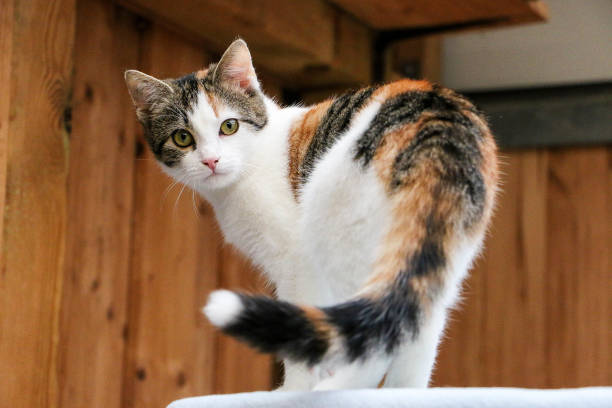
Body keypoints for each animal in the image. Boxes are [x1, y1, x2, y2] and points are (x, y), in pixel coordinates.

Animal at [123, 39, 498, 392]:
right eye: (182, 138)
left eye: (228, 126)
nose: (211, 161)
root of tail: (438, 125)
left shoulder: (297, 261)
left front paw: (295, 388)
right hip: (439, 249)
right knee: (416, 320)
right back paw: (401, 393)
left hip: (337, 224)